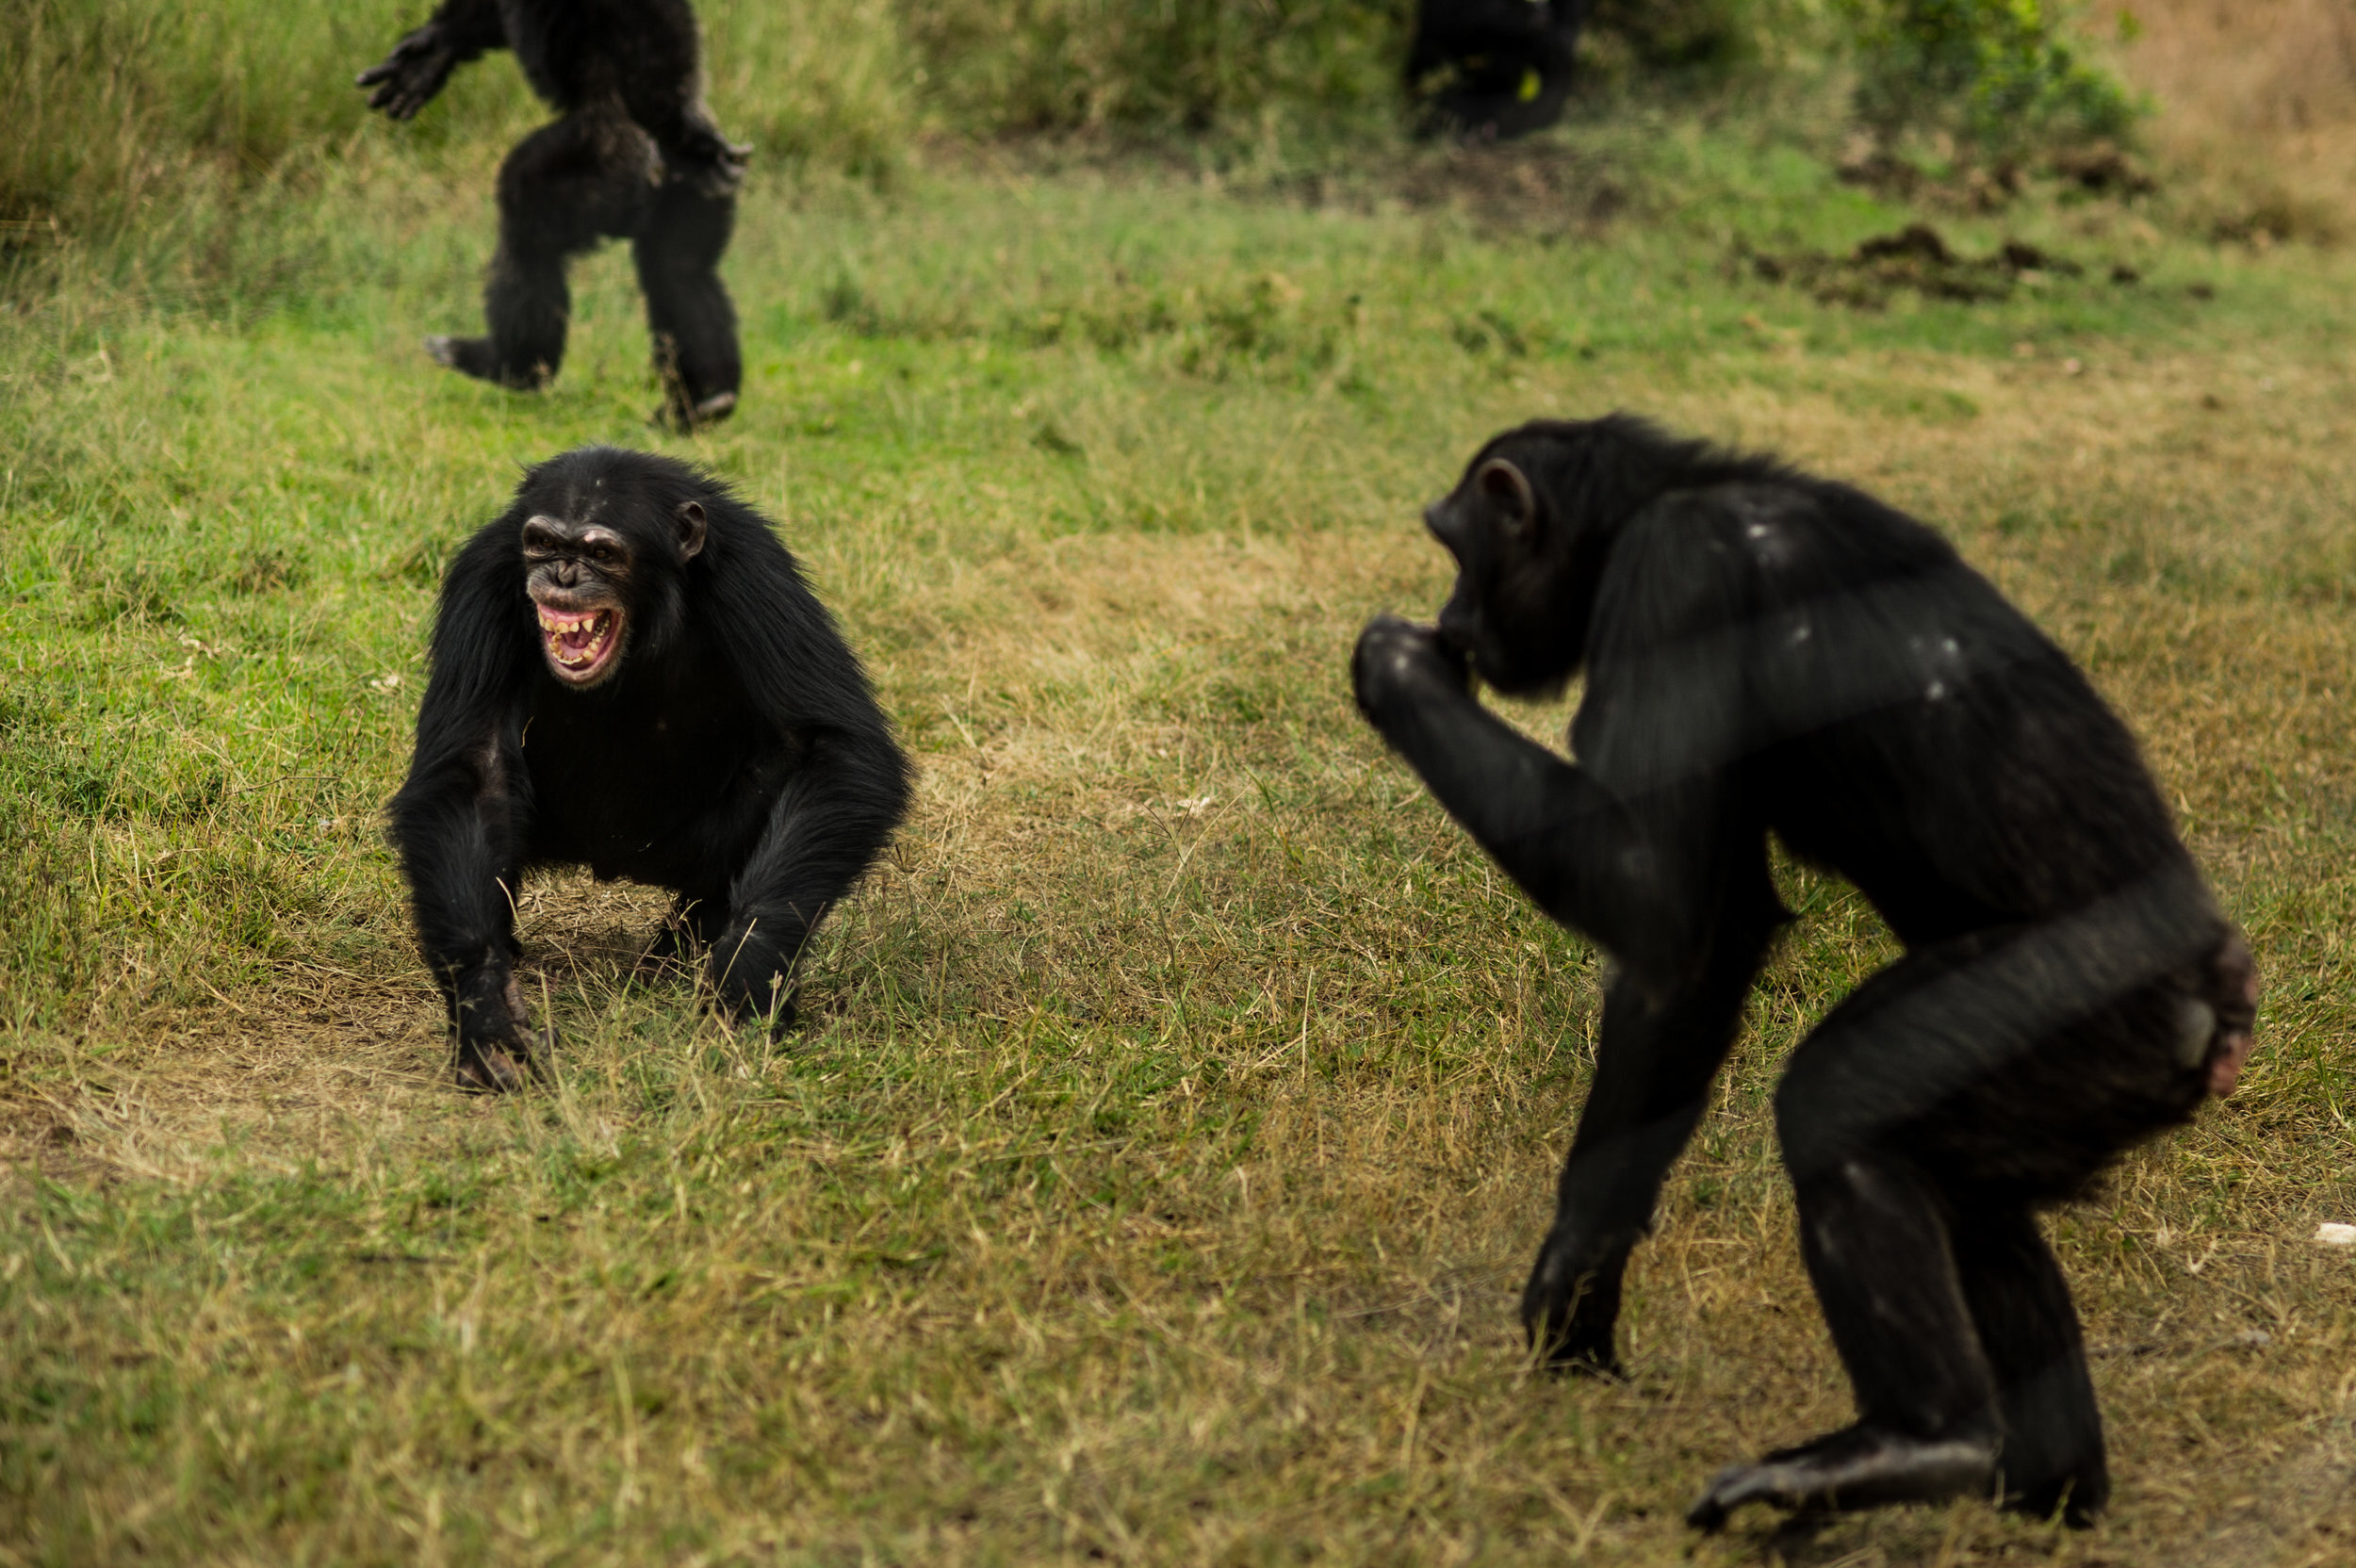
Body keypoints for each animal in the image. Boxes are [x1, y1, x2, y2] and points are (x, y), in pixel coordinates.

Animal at [355, 0, 744, 428]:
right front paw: (430, 55)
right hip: (691, 197)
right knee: (680, 269)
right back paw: (708, 398)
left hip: (597, 171)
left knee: (526, 234)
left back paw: (509, 363)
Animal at [386, 445, 909, 1092]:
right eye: (541, 543)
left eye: (602, 553)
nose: (562, 575)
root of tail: (614, 865)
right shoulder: (483, 575)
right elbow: (473, 765)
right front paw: (485, 1012)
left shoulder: (757, 571)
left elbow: (833, 747)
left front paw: (745, 980)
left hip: (686, 849)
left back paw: (684, 946)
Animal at [1366, 418, 2262, 1526]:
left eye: (1455, 549)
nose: (1451, 615)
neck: (1647, 502)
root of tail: (2223, 1008)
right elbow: (1705, 946)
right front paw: (1577, 1284)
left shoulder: (1676, 579)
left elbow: (1657, 894)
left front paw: (1396, 665)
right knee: (1966, 1196)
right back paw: (2043, 1484)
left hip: (2076, 1008)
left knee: (1841, 1101)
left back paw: (1920, 1441)